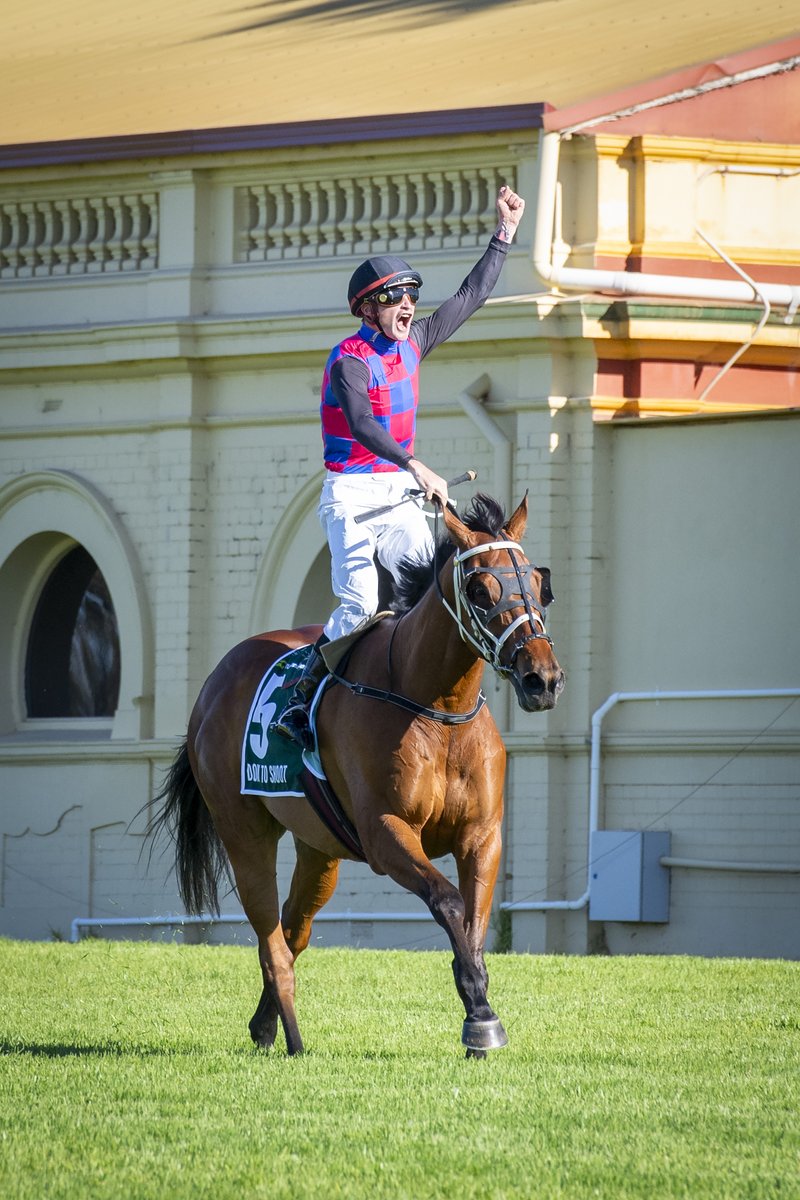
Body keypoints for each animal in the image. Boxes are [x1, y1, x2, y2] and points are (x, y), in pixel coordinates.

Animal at [149, 492, 563, 1056]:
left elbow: (475, 923)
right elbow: (449, 902)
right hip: (243, 831)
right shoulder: (386, 831)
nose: (542, 679)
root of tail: (216, 679)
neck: (435, 706)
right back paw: (293, 1039)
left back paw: (264, 1024)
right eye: (481, 590)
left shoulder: (482, 836)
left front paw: (480, 1007)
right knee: (272, 943)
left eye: (539, 584)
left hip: (318, 849)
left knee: (292, 932)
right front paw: (480, 1015)